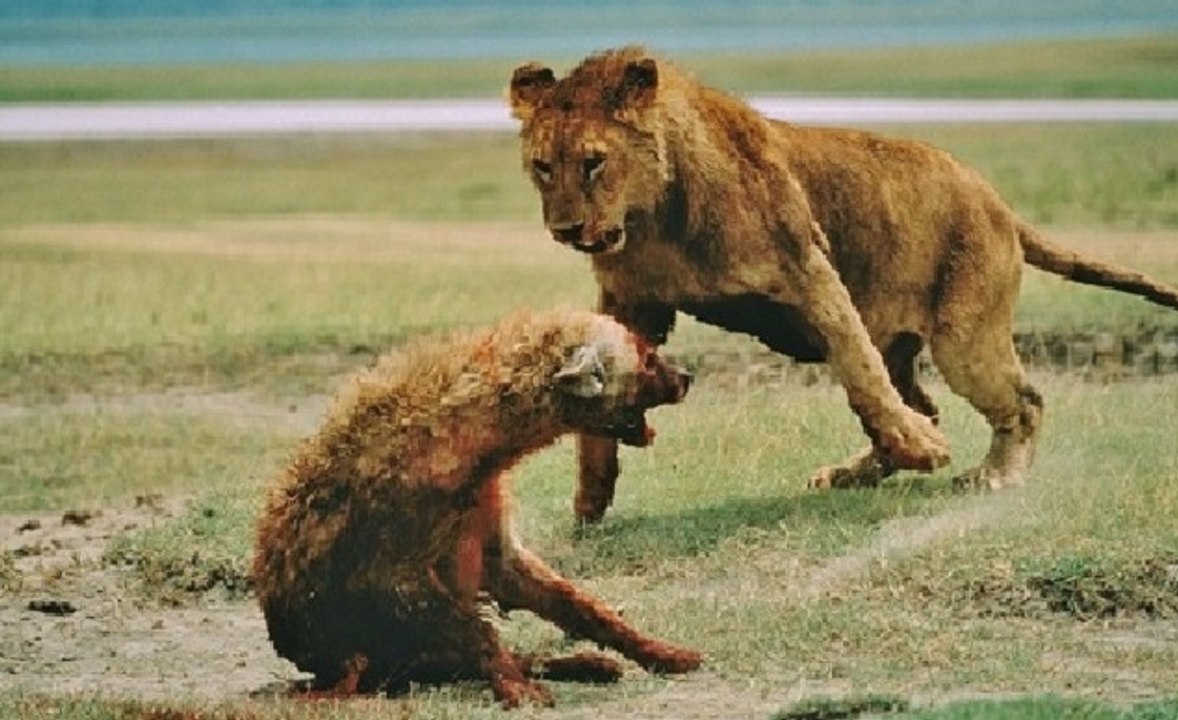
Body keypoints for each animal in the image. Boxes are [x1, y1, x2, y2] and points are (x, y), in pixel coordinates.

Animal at [507, 46, 1178, 523]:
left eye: (593, 162)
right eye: (543, 166)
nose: (565, 229)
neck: (654, 215)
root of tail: (998, 202)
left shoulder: (809, 269)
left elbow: (859, 373)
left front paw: (925, 451)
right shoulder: (631, 299)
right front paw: (590, 500)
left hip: (963, 335)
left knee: (1021, 400)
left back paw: (992, 475)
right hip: (906, 336)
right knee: (920, 398)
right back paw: (854, 472)